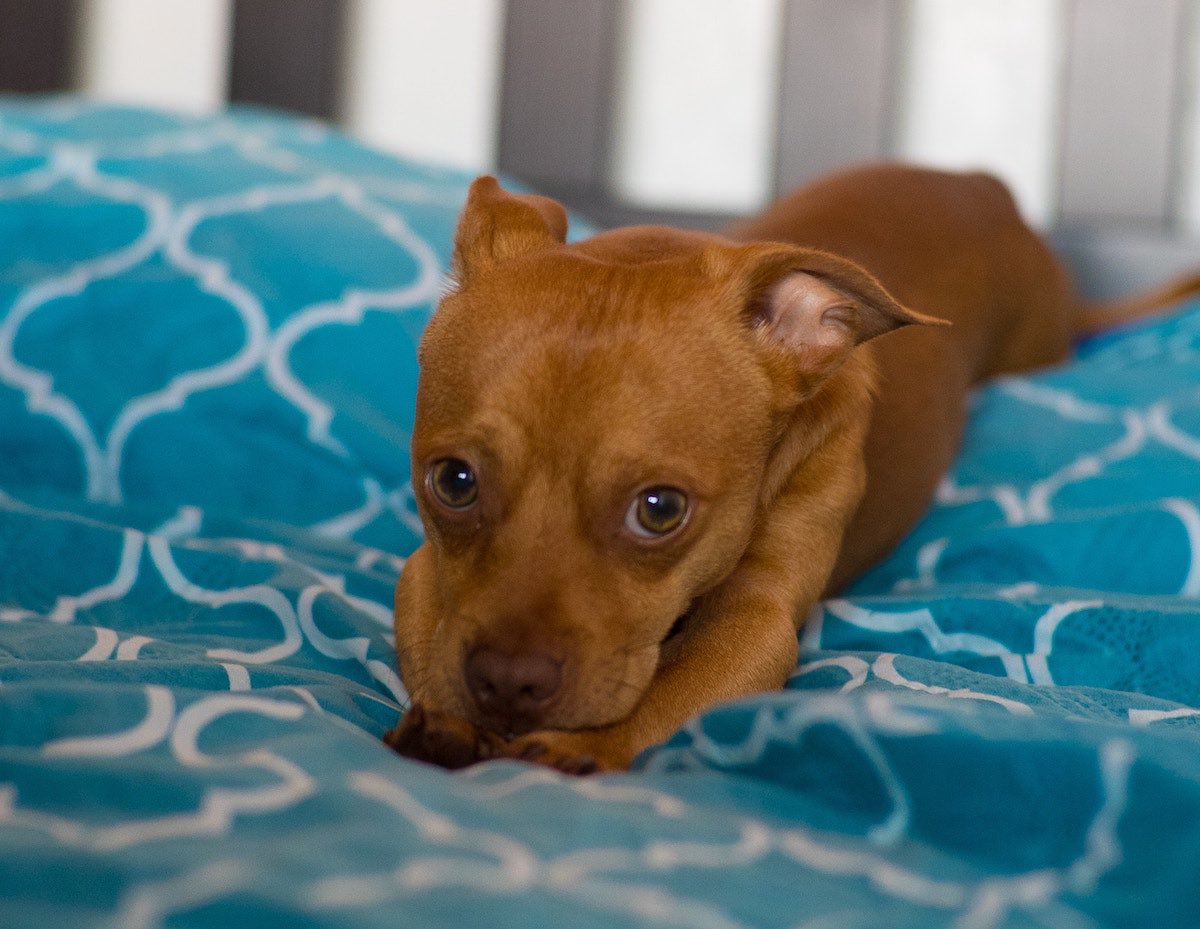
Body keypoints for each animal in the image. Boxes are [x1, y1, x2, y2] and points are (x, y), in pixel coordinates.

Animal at [386, 165, 1200, 772]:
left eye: (660, 509)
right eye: (453, 482)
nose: (507, 680)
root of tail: (986, 186)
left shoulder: (755, 620)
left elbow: (660, 700)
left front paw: (581, 746)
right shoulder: (424, 574)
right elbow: (432, 641)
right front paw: (449, 726)